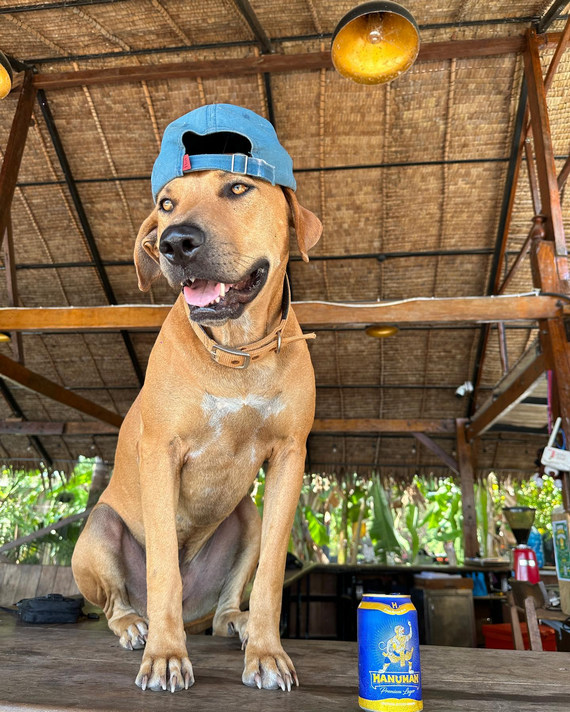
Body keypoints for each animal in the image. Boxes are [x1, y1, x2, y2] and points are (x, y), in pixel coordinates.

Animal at [70, 108, 320, 692]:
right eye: (166, 203)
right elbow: (163, 564)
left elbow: (272, 575)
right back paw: (136, 626)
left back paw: (238, 623)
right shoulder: (162, 452)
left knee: (227, 602)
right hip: (99, 530)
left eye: (237, 187)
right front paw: (164, 656)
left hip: (245, 519)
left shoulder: (290, 457)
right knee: (115, 602)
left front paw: (268, 652)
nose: (175, 242)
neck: (237, 353)